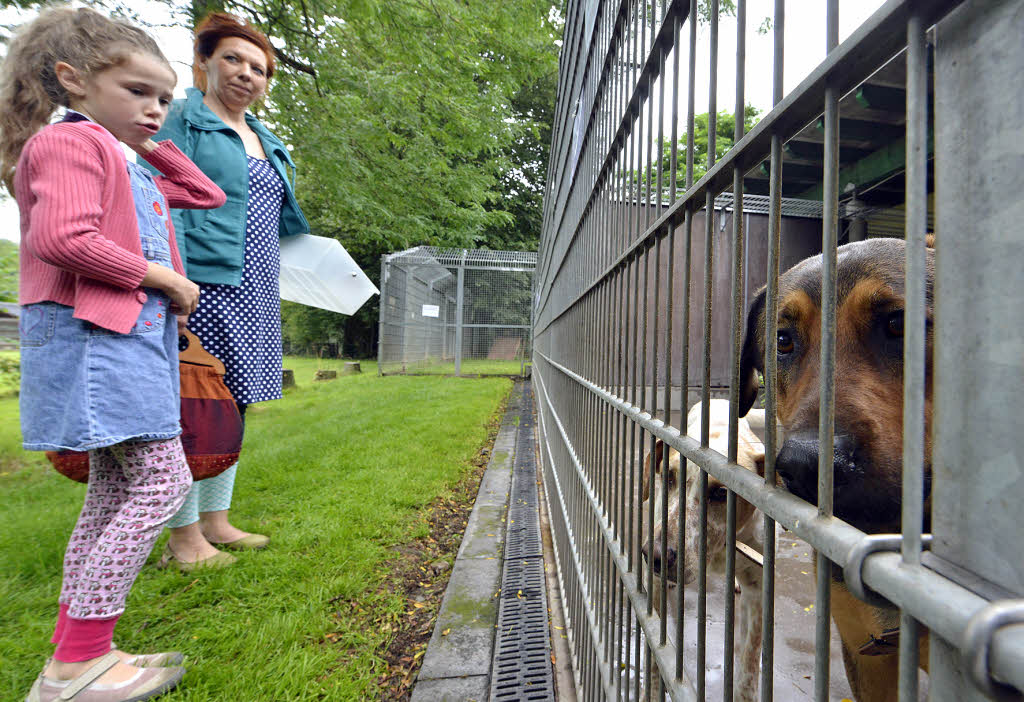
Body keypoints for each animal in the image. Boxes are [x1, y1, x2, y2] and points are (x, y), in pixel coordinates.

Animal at [643, 401, 765, 702]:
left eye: (721, 493)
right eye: (669, 476)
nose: (655, 556)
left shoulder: (758, 591)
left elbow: (748, 665)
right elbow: (656, 652)